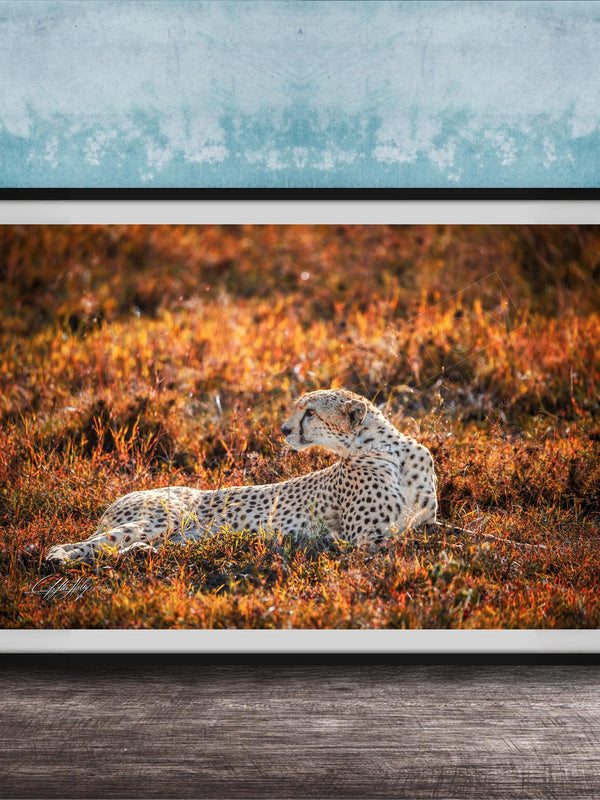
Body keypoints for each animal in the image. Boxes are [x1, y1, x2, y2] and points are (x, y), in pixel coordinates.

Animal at [45, 388, 438, 564]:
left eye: (310, 412)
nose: (284, 430)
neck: (387, 450)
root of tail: (116, 499)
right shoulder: (364, 541)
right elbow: (407, 546)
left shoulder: (423, 523)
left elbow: (438, 533)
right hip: (161, 518)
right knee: (86, 544)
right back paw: (58, 557)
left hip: (177, 536)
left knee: (117, 548)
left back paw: (140, 554)